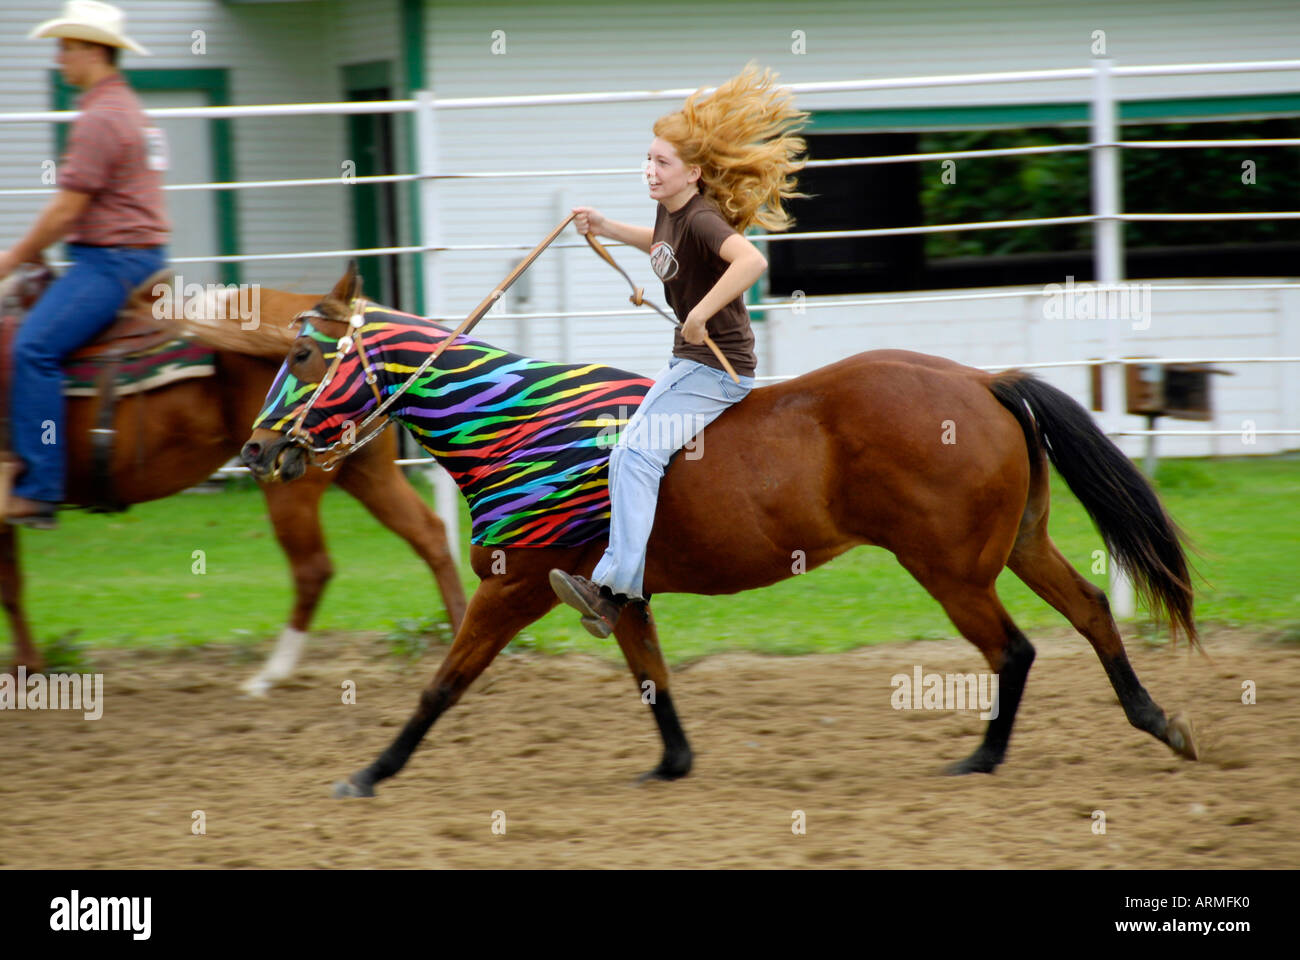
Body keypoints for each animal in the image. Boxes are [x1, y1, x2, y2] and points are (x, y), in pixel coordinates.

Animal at [0, 273, 467, 692]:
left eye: (303, 355)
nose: (255, 448)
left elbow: (10, 585)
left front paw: (25, 670)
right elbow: (13, 583)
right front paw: (27, 666)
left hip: (291, 482)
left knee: (313, 568)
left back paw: (270, 674)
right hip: (364, 470)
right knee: (428, 534)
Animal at [241, 264, 1196, 790]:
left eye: (303, 355)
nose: (257, 450)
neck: (522, 429)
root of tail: (982, 380)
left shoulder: (513, 590)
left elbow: (442, 685)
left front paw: (368, 774)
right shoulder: (619, 594)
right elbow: (651, 678)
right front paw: (671, 766)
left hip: (952, 570)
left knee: (1014, 650)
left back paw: (984, 759)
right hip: (1019, 546)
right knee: (1091, 611)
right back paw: (1159, 721)